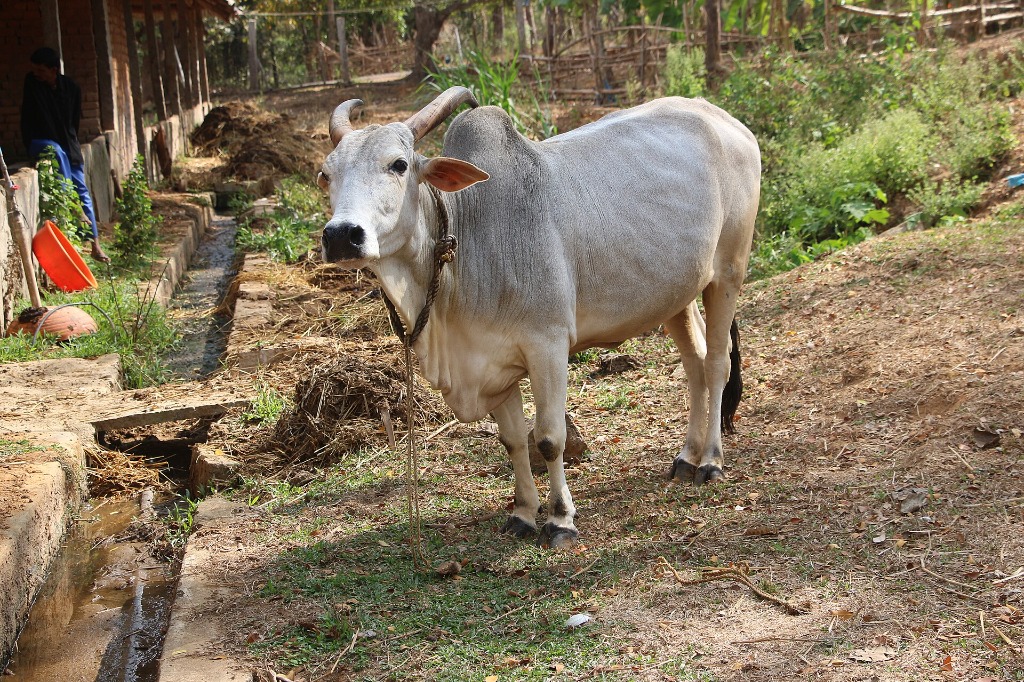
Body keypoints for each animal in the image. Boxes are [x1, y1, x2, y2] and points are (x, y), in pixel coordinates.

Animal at [317, 87, 760, 548]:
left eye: (399, 164)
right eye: (326, 174)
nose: (341, 235)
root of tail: (725, 120)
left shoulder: (547, 345)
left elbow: (548, 439)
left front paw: (561, 519)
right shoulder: (494, 363)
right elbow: (513, 441)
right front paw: (524, 514)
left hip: (728, 274)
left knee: (716, 364)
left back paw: (711, 461)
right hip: (676, 294)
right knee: (694, 364)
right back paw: (687, 457)